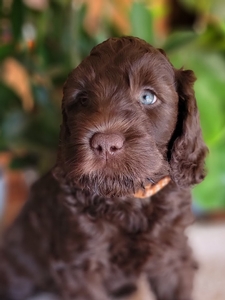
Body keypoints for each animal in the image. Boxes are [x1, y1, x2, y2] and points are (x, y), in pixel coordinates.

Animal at [0, 37, 207, 300]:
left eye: (148, 97)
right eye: (83, 100)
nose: (105, 144)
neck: (126, 199)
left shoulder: (171, 254)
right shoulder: (80, 264)